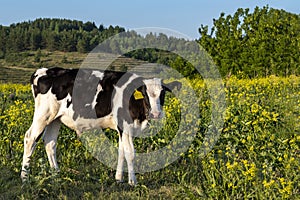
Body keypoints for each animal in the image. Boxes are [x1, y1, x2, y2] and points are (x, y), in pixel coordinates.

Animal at [22, 67, 180, 186]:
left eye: (162, 94)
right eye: (145, 94)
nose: (155, 113)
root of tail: (44, 70)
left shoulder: (122, 128)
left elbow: (121, 151)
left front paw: (118, 179)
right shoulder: (125, 126)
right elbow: (130, 153)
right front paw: (132, 182)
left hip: (55, 118)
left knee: (50, 142)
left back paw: (56, 174)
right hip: (43, 114)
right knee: (30, 138)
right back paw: (25, 177)